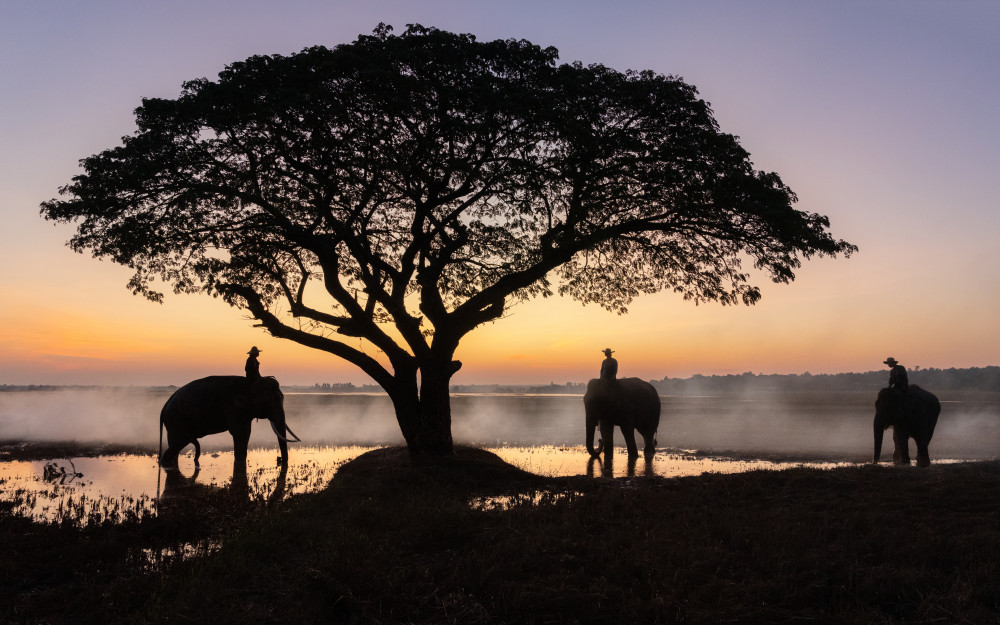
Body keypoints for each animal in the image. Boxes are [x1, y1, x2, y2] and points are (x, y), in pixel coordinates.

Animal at [159, 375, 300, 471]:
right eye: (266, 402)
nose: (279, 460)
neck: (248, 384)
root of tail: (164, 407)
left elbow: (245, 433)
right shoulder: (233, 408)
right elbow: (241, 433)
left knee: (175, 445)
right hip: (177, 420)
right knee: (178, 444)